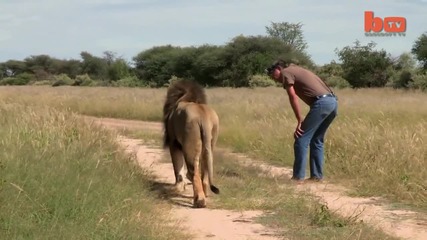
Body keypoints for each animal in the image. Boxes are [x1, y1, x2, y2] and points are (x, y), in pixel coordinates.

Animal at [162, 79, 219, 208]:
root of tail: (203, 117)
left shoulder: (174, 142)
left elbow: (177, 166)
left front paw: (178, 187)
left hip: (190, 145)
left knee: (194, 173)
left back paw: (199, 200)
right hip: (210, 143)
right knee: (205, 170)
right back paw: (205, 194)